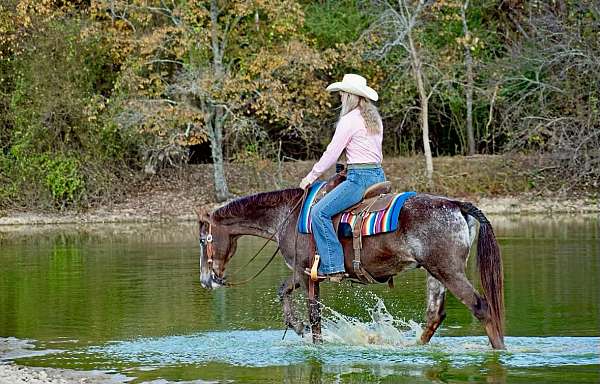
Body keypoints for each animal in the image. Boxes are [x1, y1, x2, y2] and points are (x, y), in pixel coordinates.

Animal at [197, 176, 506, 350]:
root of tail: (455, 204)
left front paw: (313, 340)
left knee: (481, 307)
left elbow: (313, 313)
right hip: (435, 273)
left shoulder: (307, 274)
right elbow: (283, 290)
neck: (287, 216)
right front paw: (296, 327)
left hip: (449, 270)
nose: (206, 280)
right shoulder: (302, 272)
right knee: (435, 316)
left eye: (203, 240)